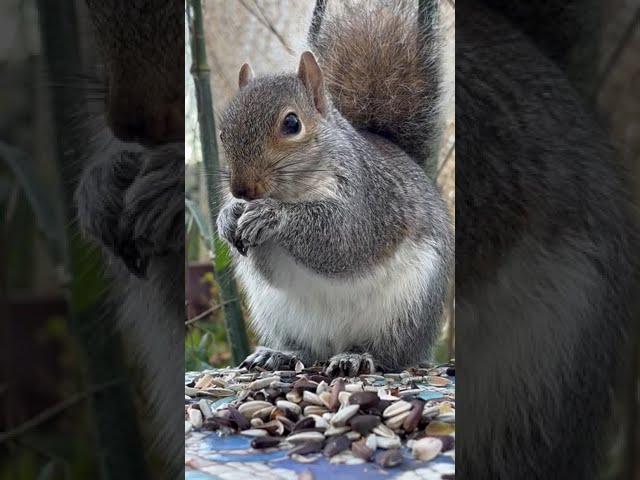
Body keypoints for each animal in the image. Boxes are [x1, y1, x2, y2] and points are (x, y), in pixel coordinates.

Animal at [216, 0, 456, 376]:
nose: (242, 190)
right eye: (223, 131)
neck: (294, 191)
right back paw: (279, 354)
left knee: (388, 354)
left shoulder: (366, 197)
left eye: (292, 123)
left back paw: (356, 357)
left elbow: (343, 239)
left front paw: (272, 216)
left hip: (406, 312)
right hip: (278, 315)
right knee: (304, 349)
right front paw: (229, 217)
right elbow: (269, 270)